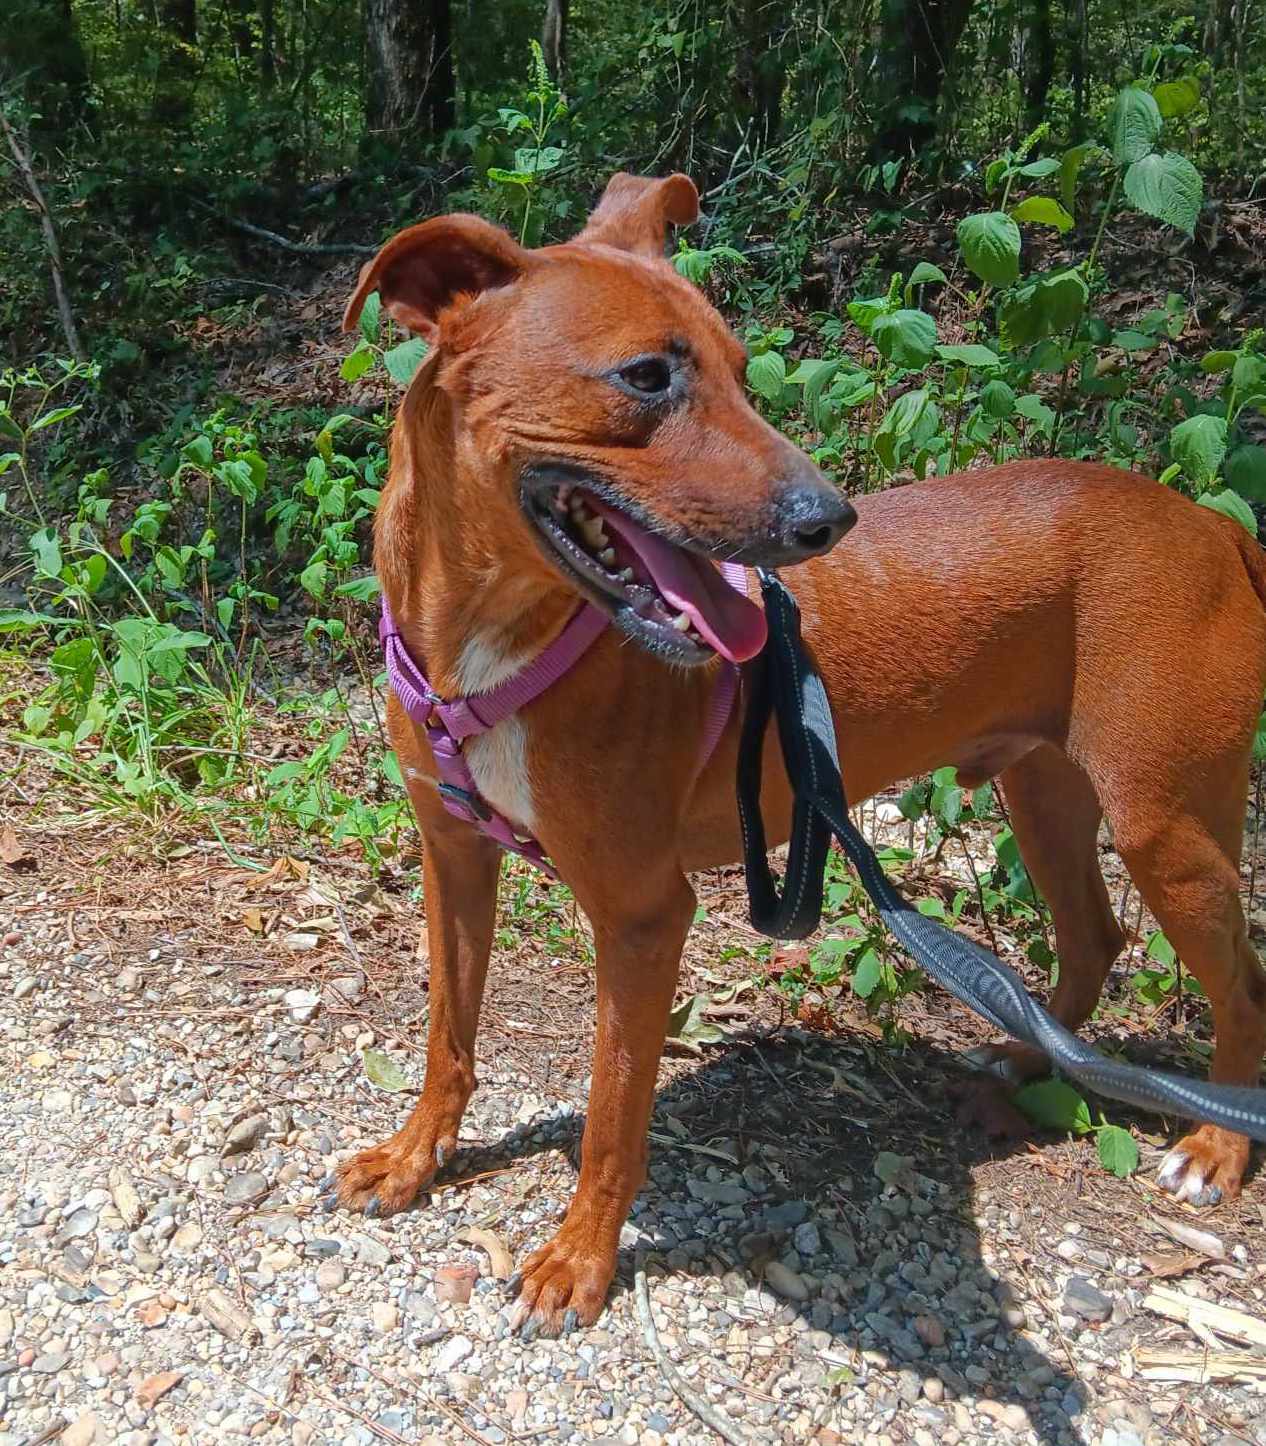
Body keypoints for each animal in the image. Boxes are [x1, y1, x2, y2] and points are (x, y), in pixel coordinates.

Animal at [333, 177, 1266, 1330]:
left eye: (742, 371)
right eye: (647, 378)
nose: (831, 518)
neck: (489, 641)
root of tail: (1214, 527)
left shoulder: (645, 917)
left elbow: (611, 1115)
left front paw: (580, 1259)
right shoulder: (454, 859)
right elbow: (446, 1039)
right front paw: (416, 1158)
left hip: (1165, 824)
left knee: (1243, 985)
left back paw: (1217, 1145)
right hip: (1043, 793)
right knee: (1093, 937)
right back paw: (1020, 1056)